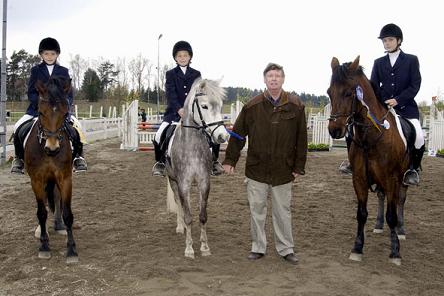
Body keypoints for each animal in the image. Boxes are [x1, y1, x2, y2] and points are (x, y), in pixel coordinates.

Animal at [24, 77, 78, 264]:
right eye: (41, 113)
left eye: (65, 113)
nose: (52, 148)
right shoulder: (36, 180)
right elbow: (41, 212)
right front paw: (44, 246)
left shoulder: (65, 178)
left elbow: (68, 212)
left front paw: (71, 249)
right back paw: (43, 231)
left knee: (56, 198)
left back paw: (59, 225)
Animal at [166, 78, 229, 260]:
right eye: (204, 106)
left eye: (220, 106)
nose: (223, 136)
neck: (192, 146)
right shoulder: (183, 184)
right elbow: (188, 216)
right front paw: (189, 248)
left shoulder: (204, 182)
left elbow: (202, 216)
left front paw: (205, 246)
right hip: (173, 180)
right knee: (179, 203)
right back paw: (180, 228)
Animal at [326, 56, 410, 264]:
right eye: (329, 92)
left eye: (349, 93)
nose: (334, 130)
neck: (370, 138)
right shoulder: (359, 179)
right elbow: (361, 213)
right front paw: (357, 248)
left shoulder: (392, 179)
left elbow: (392, 215)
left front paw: (395, 251)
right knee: (381, 197)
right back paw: (379, 226)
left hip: (402, 180)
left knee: (400, 201)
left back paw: (401, 230)